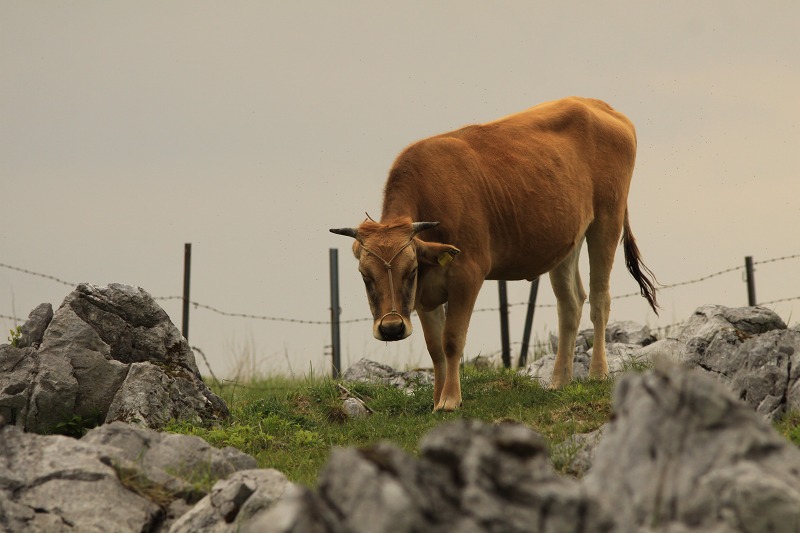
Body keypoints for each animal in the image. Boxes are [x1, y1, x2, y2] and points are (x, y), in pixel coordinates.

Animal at [332, 96, 656, 412]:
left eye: (410, 270)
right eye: (365, 275)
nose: (391, 328)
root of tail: (600, 105)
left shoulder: (467, 274)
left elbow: (452, 340)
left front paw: (450, 400)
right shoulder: (423, 294)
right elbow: (435, 348)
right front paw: (437, 399)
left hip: (607, 220)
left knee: (599, 298)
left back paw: (597, 373)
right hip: (566, 241)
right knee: (571, 303)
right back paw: (559, 380)